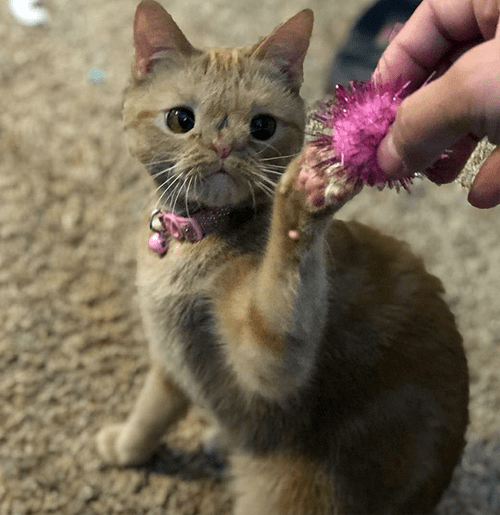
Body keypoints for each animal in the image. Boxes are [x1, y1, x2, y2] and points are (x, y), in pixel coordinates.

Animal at [97, 2, 468, 512]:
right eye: (180, 120)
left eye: (262, 127)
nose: (223, 147)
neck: (194, 240)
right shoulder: (171, 362)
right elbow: (152, 409)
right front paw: (128, 448)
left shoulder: (270, 366)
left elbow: (282, 290)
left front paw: (306, 195)